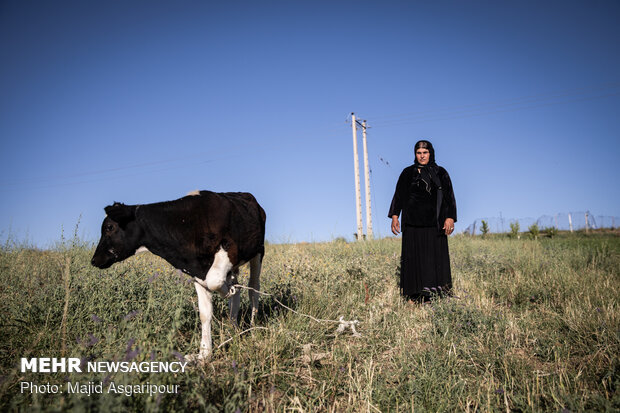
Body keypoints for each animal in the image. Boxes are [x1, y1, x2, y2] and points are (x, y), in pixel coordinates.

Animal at [91, 190, 266, 360]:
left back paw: (252, 328)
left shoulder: (229, 249)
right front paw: (204, 354)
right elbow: (205, 313)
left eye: (109, 227)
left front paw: (228, 290)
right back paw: (233, 327)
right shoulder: (196, 271)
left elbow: (215, 281)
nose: (94, 260)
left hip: (258, 251)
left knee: (253, 288)